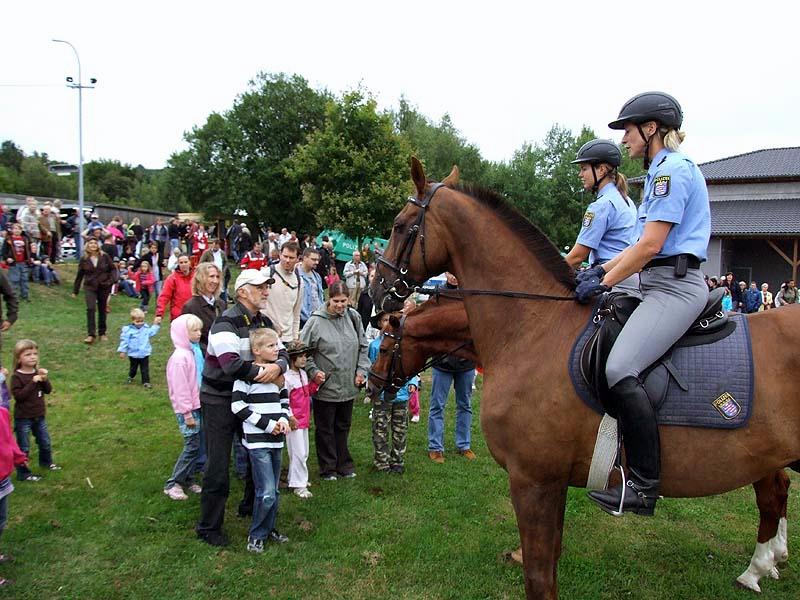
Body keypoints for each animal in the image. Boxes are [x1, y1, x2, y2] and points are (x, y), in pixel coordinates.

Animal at [370, 157, 800, 596]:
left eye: (400, 226)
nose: (376, 291)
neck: (534, 326)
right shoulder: (553, 482)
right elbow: (552, 557)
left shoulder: (534, 480)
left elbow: (540, 576)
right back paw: (767, 562)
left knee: (772, 495)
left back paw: (758, 567)